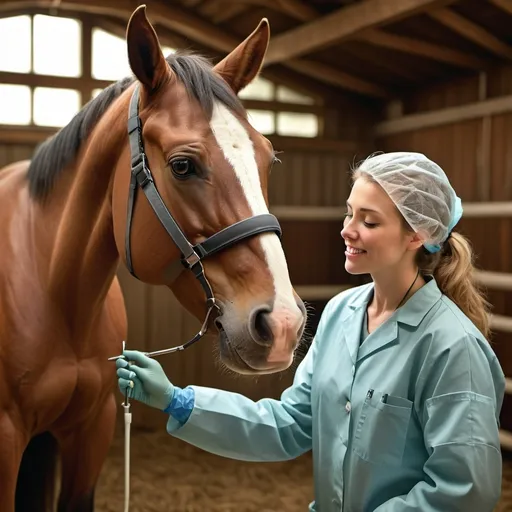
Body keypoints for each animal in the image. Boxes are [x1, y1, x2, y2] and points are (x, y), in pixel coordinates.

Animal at [0, 5, 306, 512]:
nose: (282, 323)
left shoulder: (92, 429)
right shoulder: (7, 437)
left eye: (267, 160)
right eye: (183, 165)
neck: (51, 286)